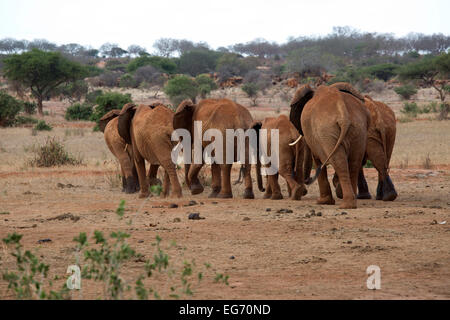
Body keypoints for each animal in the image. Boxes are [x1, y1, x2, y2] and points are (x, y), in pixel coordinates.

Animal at [290, 82, 370, 210]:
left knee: (339, 162)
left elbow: (317, 160)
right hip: (358, 129)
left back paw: (346, 204)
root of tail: (343, 113)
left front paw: (322, 202)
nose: (308, 180)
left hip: (326, 131)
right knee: (354, 163)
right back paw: (351, 202)